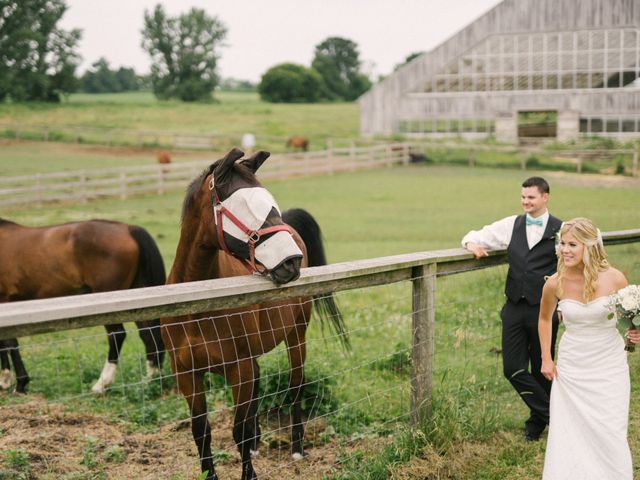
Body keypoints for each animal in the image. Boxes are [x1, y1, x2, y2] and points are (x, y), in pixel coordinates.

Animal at [0, 219, 168, 392]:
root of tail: (128, 229)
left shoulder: (5, 300)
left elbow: (9, 342)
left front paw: (19, 384)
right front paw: (5, 380)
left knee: (117, 335)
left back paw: (101, 384)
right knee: (148, 334)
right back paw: (150, 381)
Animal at [162, 148, 348, 478]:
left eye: (269, 202)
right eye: (246, 206)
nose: (291, 262)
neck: (198, 307)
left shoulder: (240, 369)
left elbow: (238, 430)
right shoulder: (186, 373)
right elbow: (202, 432)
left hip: (296, 337)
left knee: (295, 386)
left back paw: (296, 446)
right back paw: (258, 443)